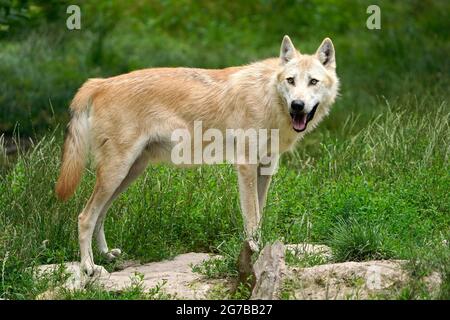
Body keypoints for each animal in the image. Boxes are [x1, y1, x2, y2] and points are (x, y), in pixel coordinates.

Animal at [55, 35, 338, 276]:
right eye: (291, 80)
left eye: (313, 81)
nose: (298, 105)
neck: (268, 98)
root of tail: (100, 82)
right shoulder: (246, 167)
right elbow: (251, 218)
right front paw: (255, 253)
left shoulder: (266, 168)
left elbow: (259, 217)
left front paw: (262, 250)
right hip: (116, 173)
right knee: (85, 217)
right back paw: (89, 267)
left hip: (128, 174)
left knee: (100, 215)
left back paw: (106, 255)